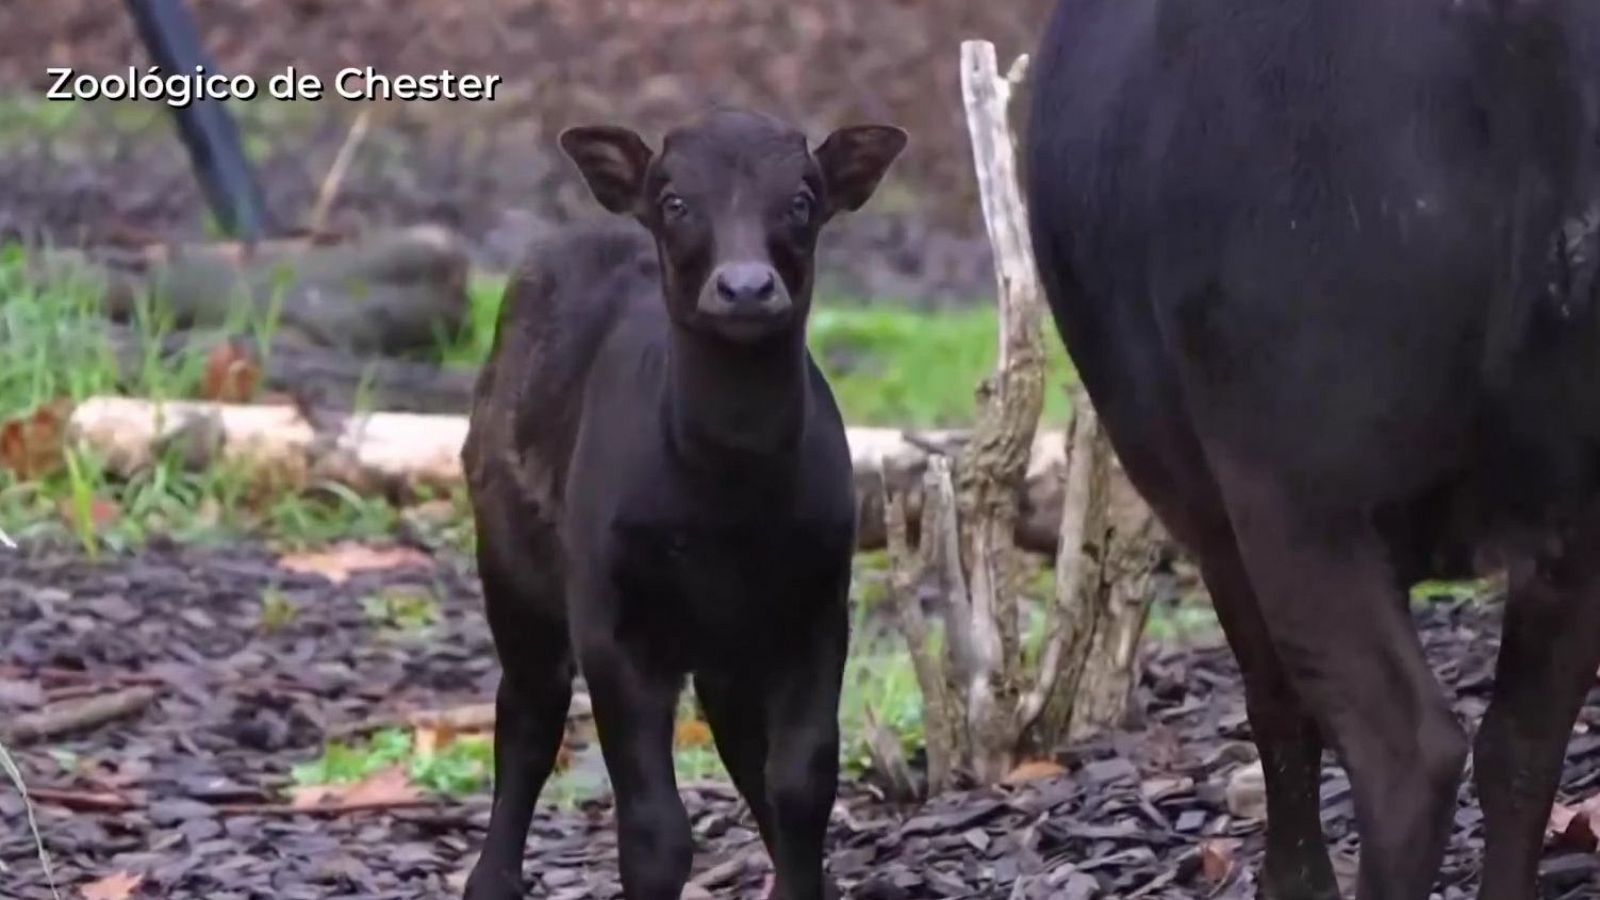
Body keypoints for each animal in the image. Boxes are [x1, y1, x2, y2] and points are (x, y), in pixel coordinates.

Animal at [464, 108, 908, 890]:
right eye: (674, 201)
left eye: (802, 200)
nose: (746, 287)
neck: (726, 498)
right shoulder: (613, 627)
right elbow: (654, 831)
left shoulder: (818, 609)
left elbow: (801, 785)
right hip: (511, 571)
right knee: (527, 714)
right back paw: (489, 881)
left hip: (729, 646)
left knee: (741, 747)